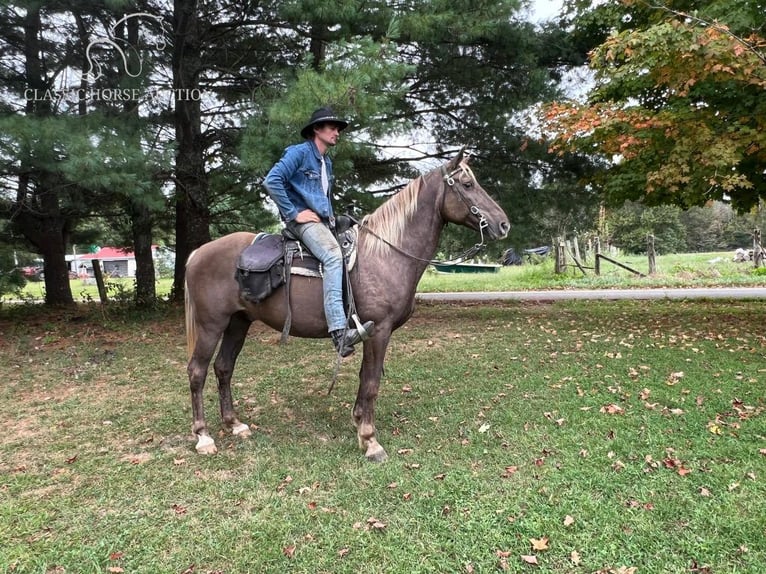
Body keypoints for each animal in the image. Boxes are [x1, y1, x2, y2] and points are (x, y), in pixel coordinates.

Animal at [185, 150, 510, 464]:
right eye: (467, 185)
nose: (503, 224)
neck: (386, 254)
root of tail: (198, 253)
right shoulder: (379, 330)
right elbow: (372, 382)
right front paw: (370, 440)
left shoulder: (370, 332)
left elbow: (365, 378)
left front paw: (358, 422)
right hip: (211, 324)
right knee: (197, 371)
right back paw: (203, 437)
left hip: (238, 322)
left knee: (224, 367)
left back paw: (234, 423)